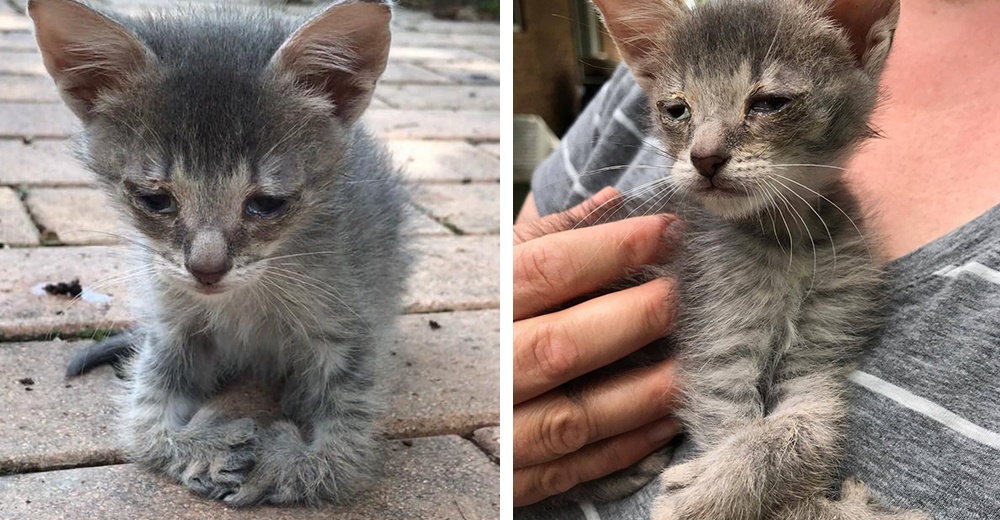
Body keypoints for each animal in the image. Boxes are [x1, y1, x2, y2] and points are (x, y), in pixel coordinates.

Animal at [30, 0, 406, 508]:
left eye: (266, 204)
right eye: (155, 199)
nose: (206, 269)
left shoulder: (350, 318)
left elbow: (345, 445)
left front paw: (285, 463)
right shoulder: (170, 320)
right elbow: (143, 425)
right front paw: (199, 445)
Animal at [576, 0, 932, 516]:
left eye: (768, 103)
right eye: (676, 109)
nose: (703, 157)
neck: (786, 243)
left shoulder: (819, 354)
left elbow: (811, 428)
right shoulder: (718, 343)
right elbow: (730, 421)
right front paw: (715, 492)